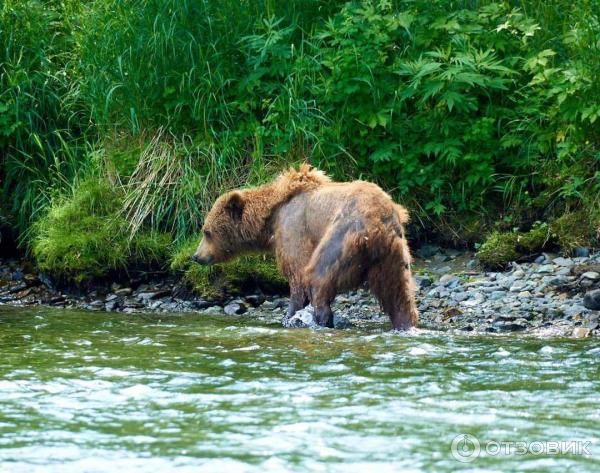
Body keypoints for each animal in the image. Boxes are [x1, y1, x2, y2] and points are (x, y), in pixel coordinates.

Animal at [192, 165, 418, 328]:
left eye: (206, 231)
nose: (196, 256)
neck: (271, 217)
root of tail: (380, 220)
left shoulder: (294, 229)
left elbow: (297, 274)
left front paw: (289, 315)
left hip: (343, 235)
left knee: (320, 275)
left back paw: (321, 318)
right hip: (394, 255)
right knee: (399, 294)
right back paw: (406, 323)